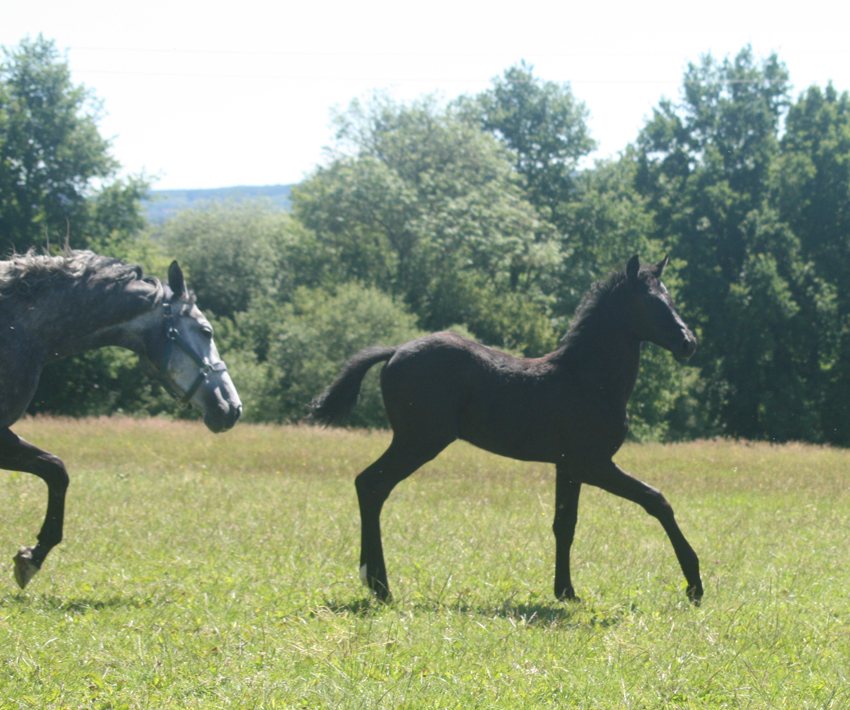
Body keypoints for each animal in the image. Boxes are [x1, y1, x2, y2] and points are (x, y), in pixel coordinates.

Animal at [0, 249, 242, 588]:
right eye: (206, 331)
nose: (231, 407)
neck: (18, 329)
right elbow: (57, 471)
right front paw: (32, 557)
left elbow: (55, 468)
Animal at [311, 255, 704, 604]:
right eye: (651, 302)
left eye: (670, 298)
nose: (688, 343)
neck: (587, 378)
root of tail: (394, 352)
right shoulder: (593, 463)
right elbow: (657, 500)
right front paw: (694, 585)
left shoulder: (568, 466)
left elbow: (565, 524)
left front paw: (566, 592)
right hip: (418, 441)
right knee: (371, 484)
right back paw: (379, 585)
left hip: (416, 441)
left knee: (371, 485)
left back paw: (375, 582)